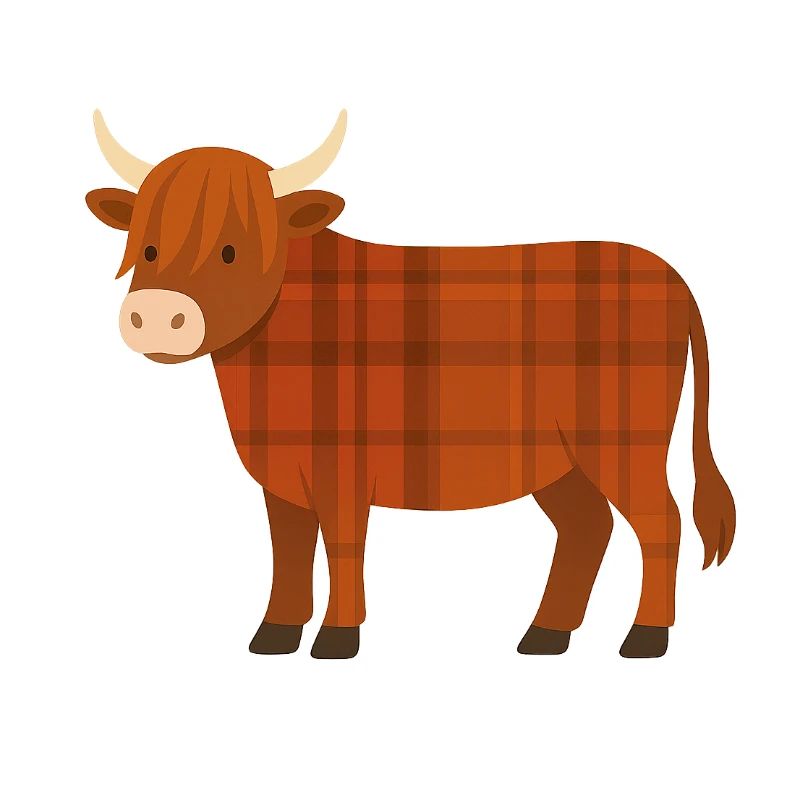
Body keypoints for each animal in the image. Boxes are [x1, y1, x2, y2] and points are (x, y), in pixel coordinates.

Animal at [86, 110, 735, 659]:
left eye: (230, 250)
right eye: (148, 246)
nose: (155, 315)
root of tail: (668, 275)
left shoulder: (343, 472)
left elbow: (342, 544)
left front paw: (337, 637)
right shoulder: (282, 477)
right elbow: (289, 549)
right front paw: (275, 633)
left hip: (624, 445)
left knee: (661, 521)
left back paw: (645, 637)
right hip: (559, 459)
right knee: (587, 526)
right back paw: (545, 635)